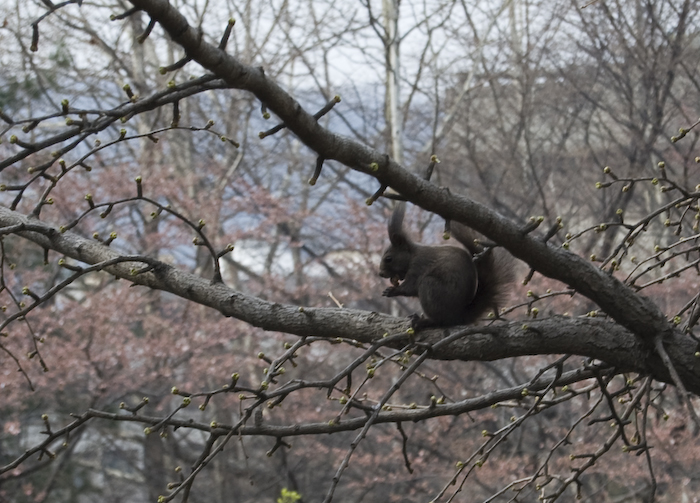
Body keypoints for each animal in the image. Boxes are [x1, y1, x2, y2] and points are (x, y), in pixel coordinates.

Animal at [378, 203, 516, 328]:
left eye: (388, 259)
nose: (380, 273)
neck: (412, 255)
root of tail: (459, 316)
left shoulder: (419, 266)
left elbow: (410, 287)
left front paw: (392, 291)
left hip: (431, 288)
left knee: (441, 320)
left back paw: (424, 321)